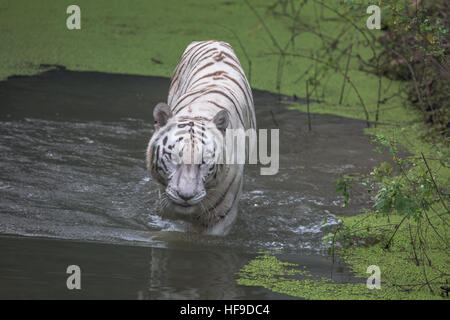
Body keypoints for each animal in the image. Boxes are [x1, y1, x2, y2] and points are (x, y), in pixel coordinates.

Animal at [146, 40, 255, 235]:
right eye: (173, 158)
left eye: (204, 161)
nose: (185, 196)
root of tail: (215, 41)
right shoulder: (165, 210)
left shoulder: (222, 219)